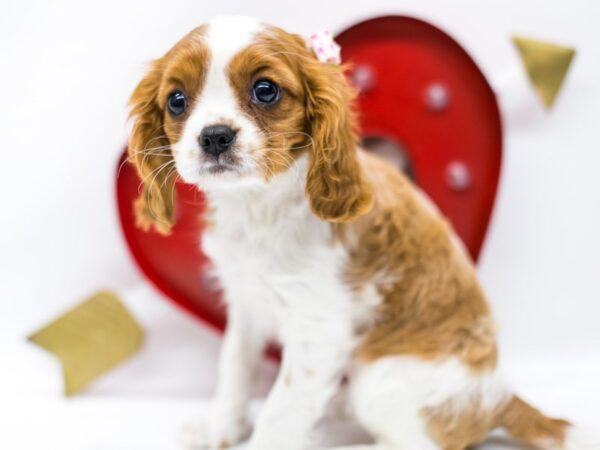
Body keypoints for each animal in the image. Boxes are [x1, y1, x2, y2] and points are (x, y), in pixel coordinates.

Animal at [129, 15, 592, 450]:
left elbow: (281, 409)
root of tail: (500, 397)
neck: (259, 205)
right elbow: (235, 364)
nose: (214, 137)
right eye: (176, 100)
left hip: (382, 376)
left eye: (265, 90)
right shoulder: (245, 300)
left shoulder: (318, 331)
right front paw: (221, 427)